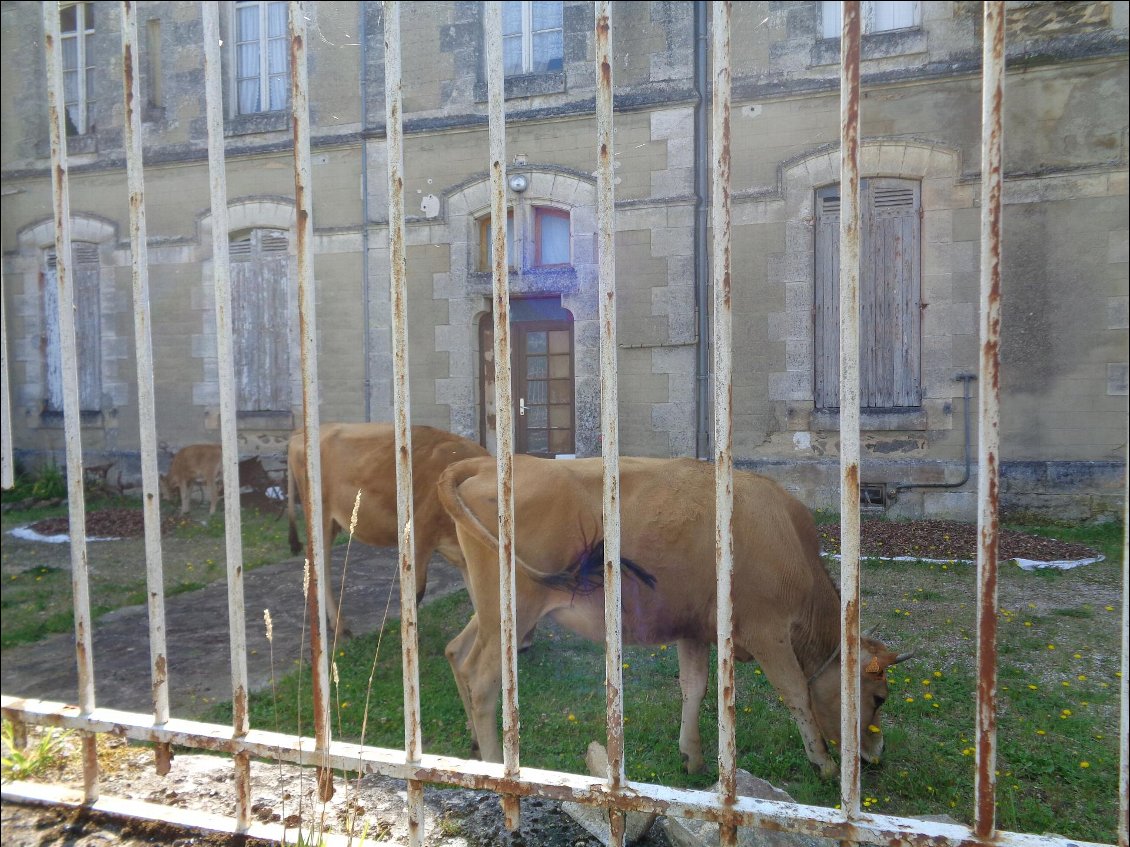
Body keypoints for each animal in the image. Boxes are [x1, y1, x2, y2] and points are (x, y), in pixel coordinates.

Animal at [284, 426, 488, 641]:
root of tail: (299, 433)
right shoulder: (419, 537)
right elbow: (416, 594)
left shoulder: (464, 557)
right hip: (321, 520)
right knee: (320, 567)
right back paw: (339, 626)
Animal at [436, 458, 913, 781]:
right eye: (879, 698)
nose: (877, 753)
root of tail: (490, 463)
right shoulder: (768, 633)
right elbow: (796, 692)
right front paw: (825, 764)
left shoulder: (694, 628)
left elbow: (694, 687)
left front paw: (692, 755)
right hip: (513, 609)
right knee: (481, 679)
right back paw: (496, 764)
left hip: (490, 610)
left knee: (457, 652)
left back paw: (475, 741)